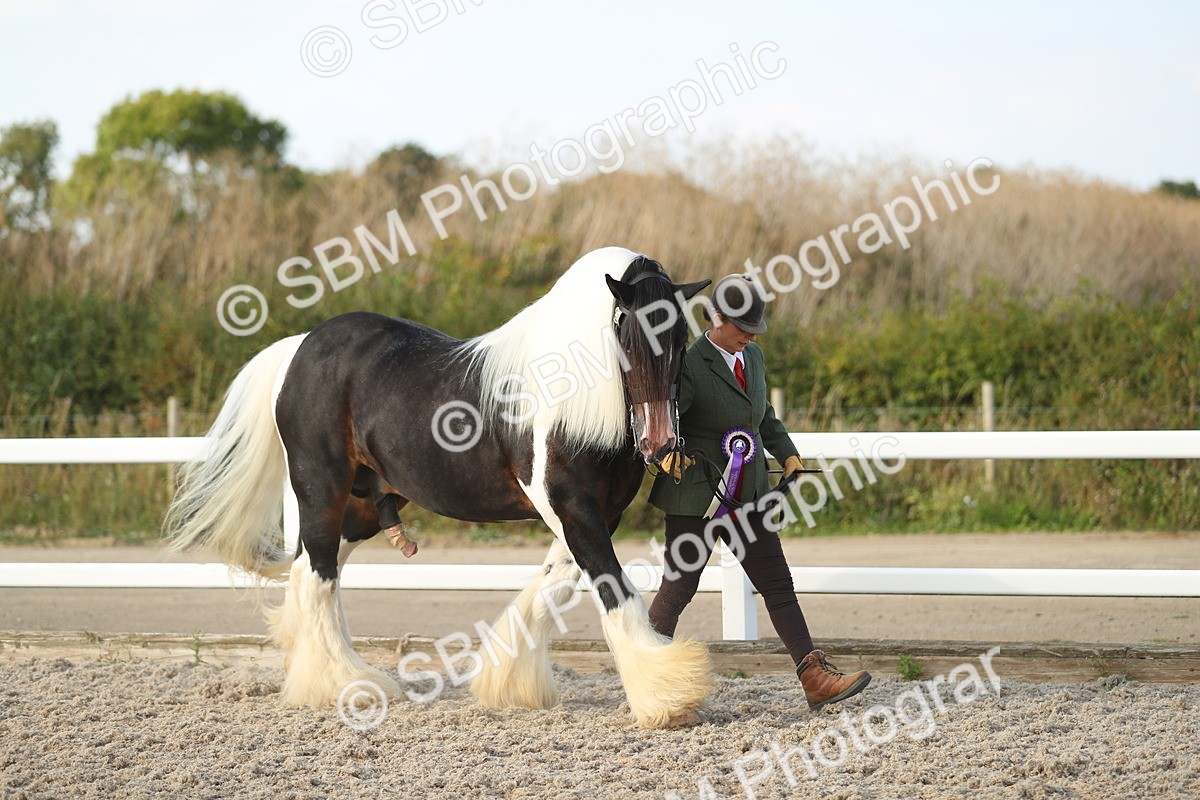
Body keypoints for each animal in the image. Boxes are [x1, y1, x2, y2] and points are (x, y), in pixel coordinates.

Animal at [164, 246, 714, 728]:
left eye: (681, 338)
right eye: (628, 337)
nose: (661, 441)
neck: (569, 401)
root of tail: (299, 348)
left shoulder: (596, 514)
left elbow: (550, 588)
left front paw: (509, 685)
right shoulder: (572, 508)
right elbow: (614, 592)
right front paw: (668, 700)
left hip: (362, 506)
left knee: (316, 573)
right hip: (320, 488)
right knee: (317, 575)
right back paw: (342, 685)